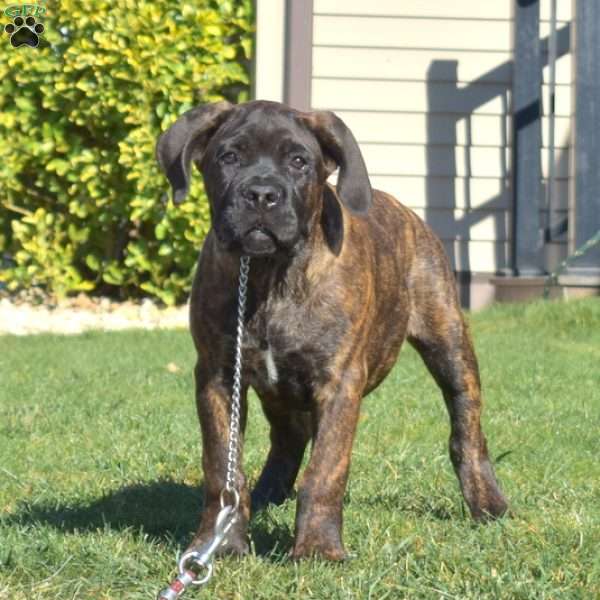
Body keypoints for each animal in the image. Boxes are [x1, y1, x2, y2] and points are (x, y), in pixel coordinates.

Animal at [155, 99, 506, 564]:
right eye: (229, 157)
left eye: (299, 162)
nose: (262, 194)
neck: (271, 274)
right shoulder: (218, 377)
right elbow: (222, 469)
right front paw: (220, 542)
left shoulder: (339, 382)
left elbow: (324, 471)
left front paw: (318, 549)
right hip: (277, 390)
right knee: (288, 437)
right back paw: (267, 493)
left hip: (448, 343)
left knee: (466, 428)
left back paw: (488, 502)